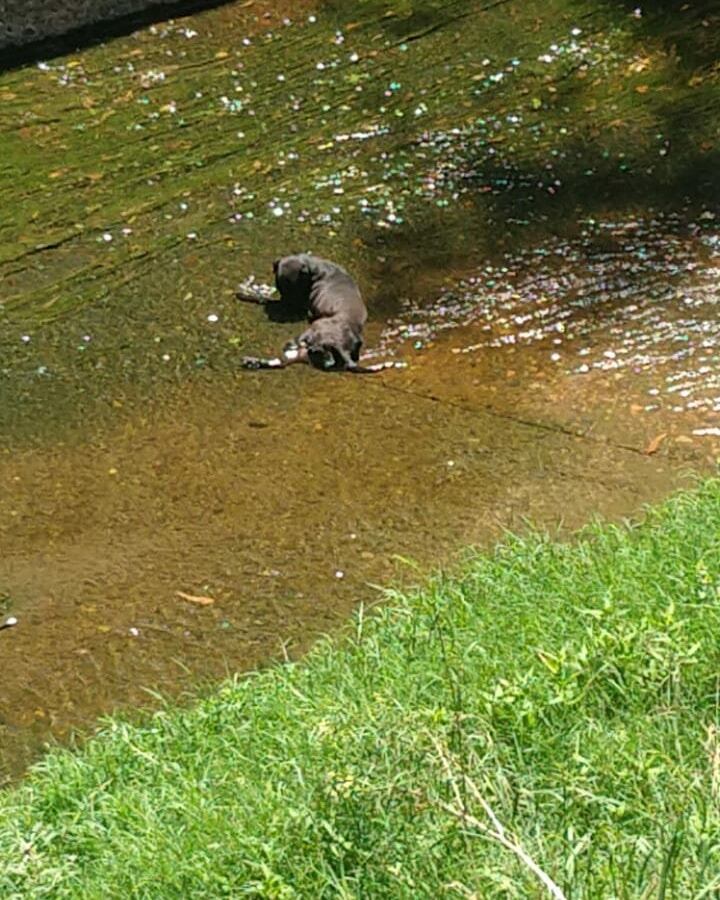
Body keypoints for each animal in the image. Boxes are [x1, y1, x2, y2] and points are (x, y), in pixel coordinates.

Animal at [238, 255, 400, 374]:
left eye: (292, 289)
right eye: (281, 287)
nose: (287, 307)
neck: (319, 269)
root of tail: (340, 346)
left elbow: (266, 299)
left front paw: (248, 295)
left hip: (308, 334)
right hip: (305, 353)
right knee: (281, 362)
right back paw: (252, 362)